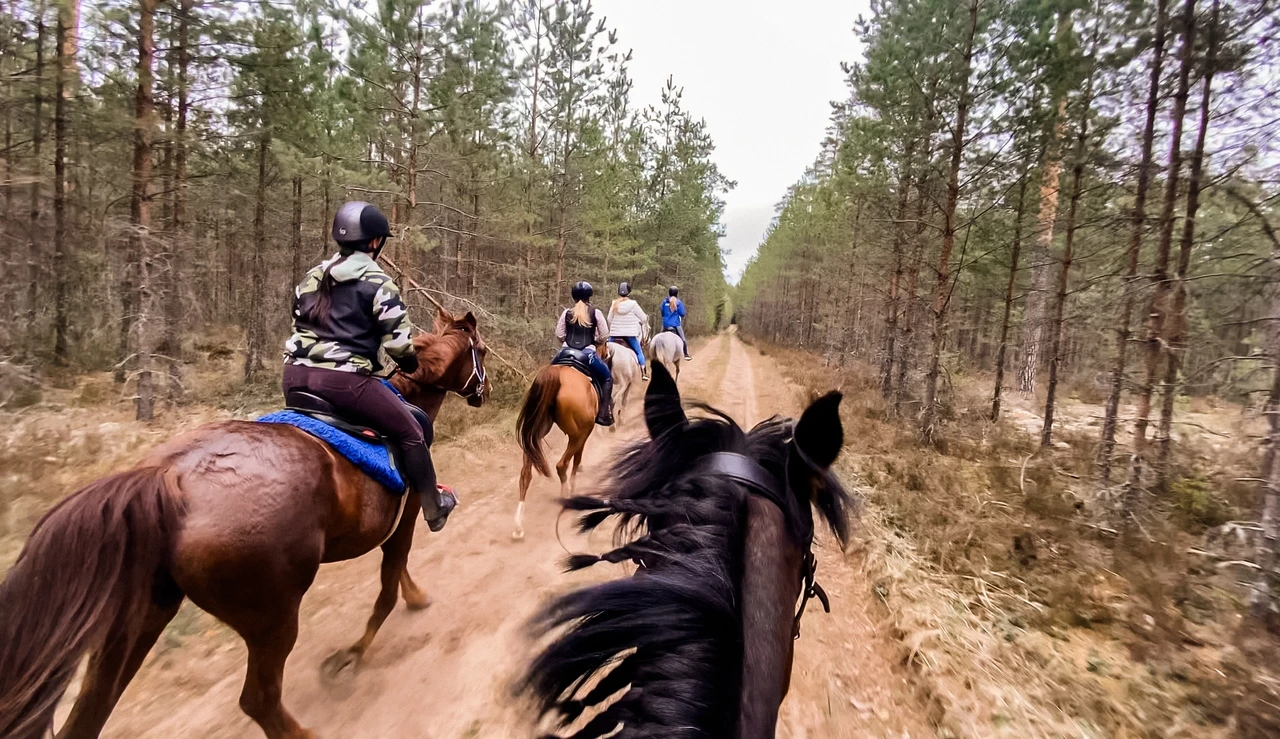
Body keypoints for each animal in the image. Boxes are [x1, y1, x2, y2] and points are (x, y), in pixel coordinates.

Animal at [0, 309, 490, 739]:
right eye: (480, 350)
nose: (483, 392)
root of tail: (167, 477)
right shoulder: (408, 516)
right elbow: (388, 586)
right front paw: (350, 656)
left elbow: (397, 575)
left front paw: (414, 597)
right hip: (272, 618)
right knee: (259, 699)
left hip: (137, 623)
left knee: (89, 715)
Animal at [514, 351, 601, 540]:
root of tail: (556, 374)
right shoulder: (585, 431)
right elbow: (577, 459)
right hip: (577, 434)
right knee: (562, 464)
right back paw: (566, 494)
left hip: (536, 431)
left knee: (525, 474)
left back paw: (518, 525)